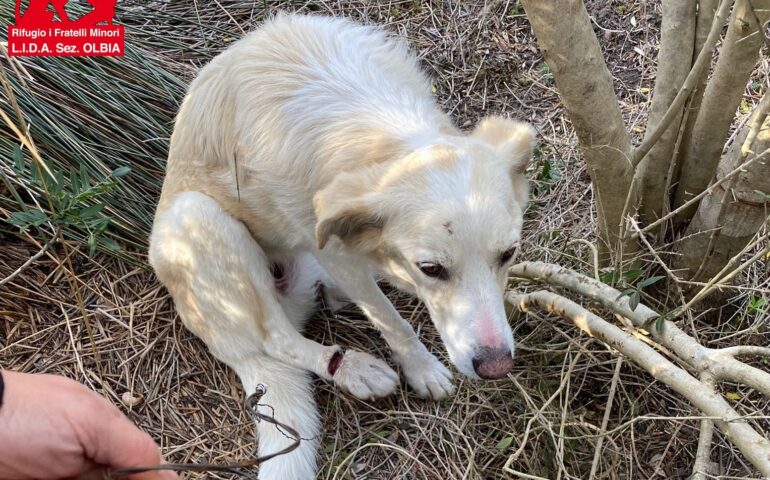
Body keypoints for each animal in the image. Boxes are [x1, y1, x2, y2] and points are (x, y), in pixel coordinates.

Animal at [150, 13, 536, 478]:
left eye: (508, 254)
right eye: (431, 269)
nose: (496, 368)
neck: (372, 122)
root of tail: (232, 347)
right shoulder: (333, 252)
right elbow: (392, 321)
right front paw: (422, 369)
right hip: (199, 217)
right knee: (277, 339)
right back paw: (353, 370)